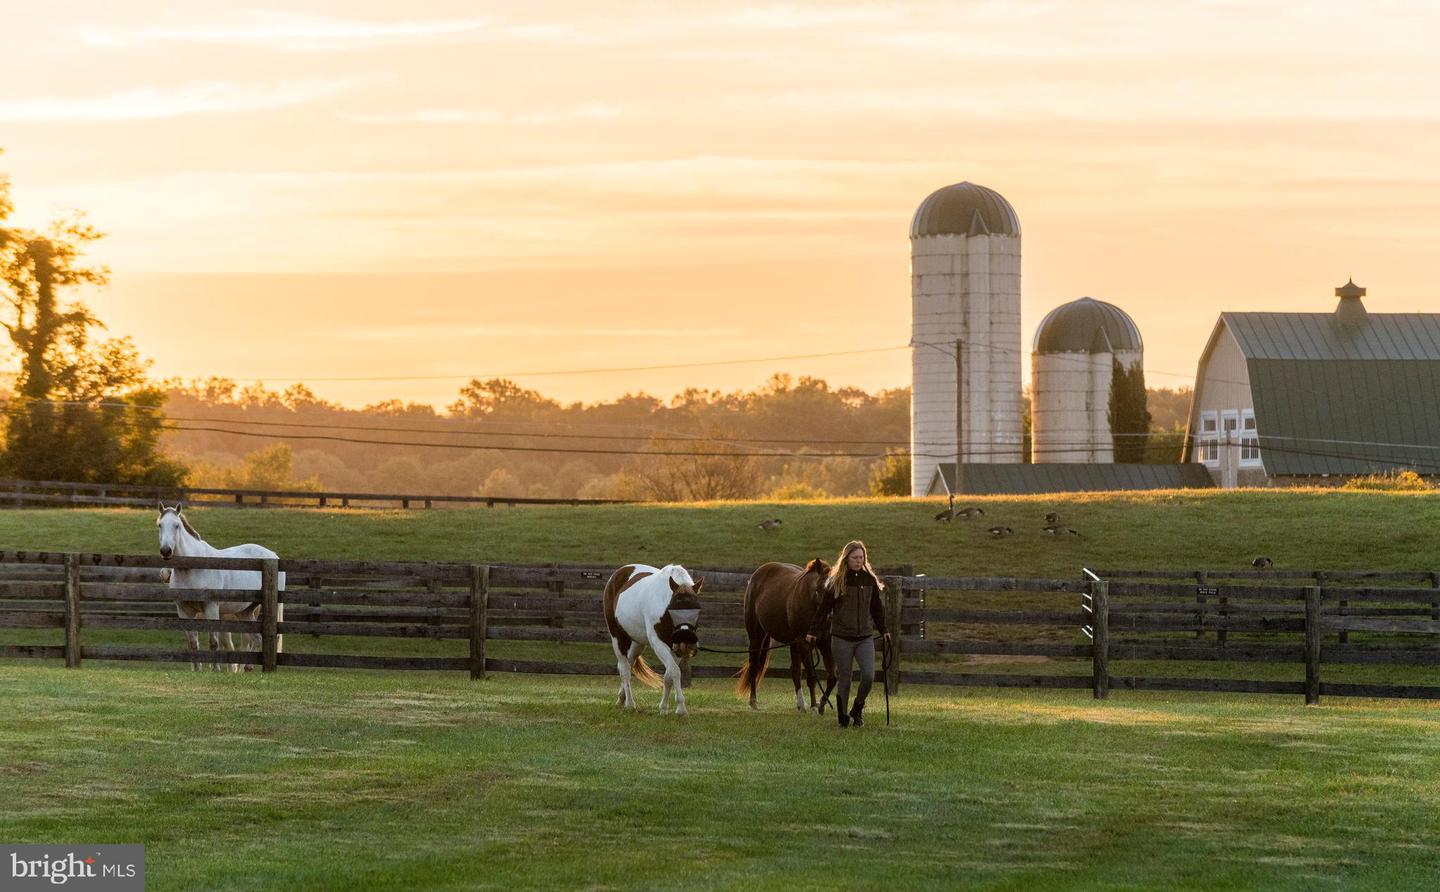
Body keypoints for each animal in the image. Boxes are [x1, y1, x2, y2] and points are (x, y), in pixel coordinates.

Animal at [156, 507, 285, 674]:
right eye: (160, 525)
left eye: (176, 525)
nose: (166, 551)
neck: (192, 567)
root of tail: (273, 556)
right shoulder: (184, 610)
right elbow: (193, 642)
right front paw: (197, 670)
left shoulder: (211, 607)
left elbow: (213, 642)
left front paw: (215, 669)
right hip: (245, 611)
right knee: (255, 638)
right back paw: (247, 668)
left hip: (273, 607)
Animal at [601, 564, 702, 717]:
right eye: (673, 607)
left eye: (697, 609)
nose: (686, 636)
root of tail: (618, 573)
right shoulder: (658, 643)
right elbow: (675, 672)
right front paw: (681, 708)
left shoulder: (675, 648)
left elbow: (668, 676)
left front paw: (663, 708)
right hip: (617, 638)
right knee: (624, 670)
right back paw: (630, 704)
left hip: (637, 643)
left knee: (629, 664)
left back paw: (621, 699)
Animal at [737, 562, 840, 714]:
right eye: (818, 589)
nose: (830, 615)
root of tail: (756, 575)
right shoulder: (804, 643)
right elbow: (811, 676)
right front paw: (814, 706)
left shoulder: (825, 644)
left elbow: (833, 677)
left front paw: (821, 705)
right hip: (756, 636)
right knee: (754, 666)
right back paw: (753, 701)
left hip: (793, 644)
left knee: (795, 672)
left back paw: (800, 704)